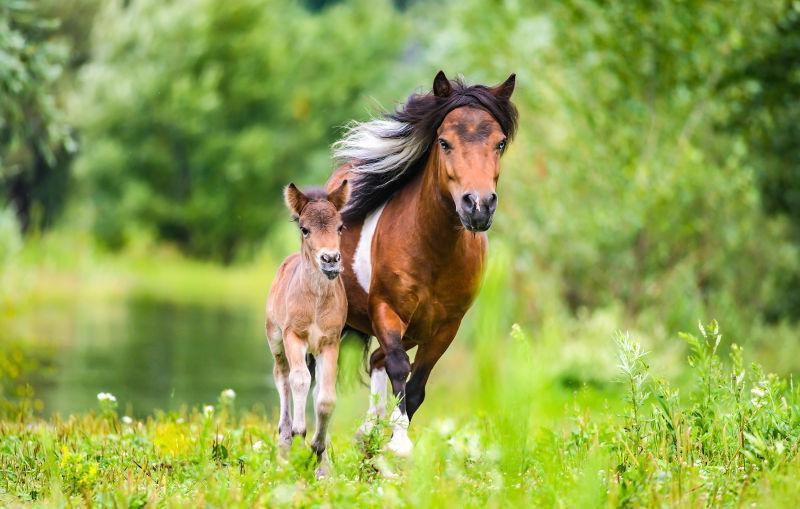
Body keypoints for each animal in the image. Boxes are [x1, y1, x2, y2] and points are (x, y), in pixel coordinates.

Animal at [266, 180, 350, 476]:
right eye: (305, 229)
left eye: (340, 227)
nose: (331, 259)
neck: (315, 301)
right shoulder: (294, 336)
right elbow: (299, 379)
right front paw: (300, 432)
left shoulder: (330, 342)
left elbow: (325, 397)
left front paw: (319, 451)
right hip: (275, 339)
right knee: (282, 376)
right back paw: (285, 440)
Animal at [326, 69, 520, 454]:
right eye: (444, 142)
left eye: (500, 142)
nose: (478, 206)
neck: (433, 253)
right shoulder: (386, 309)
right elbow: (400, 368)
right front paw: (399, 443)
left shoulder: (446, 326)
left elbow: (416, 384)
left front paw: (390, 442)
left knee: (376, 361)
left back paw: (367, 433)